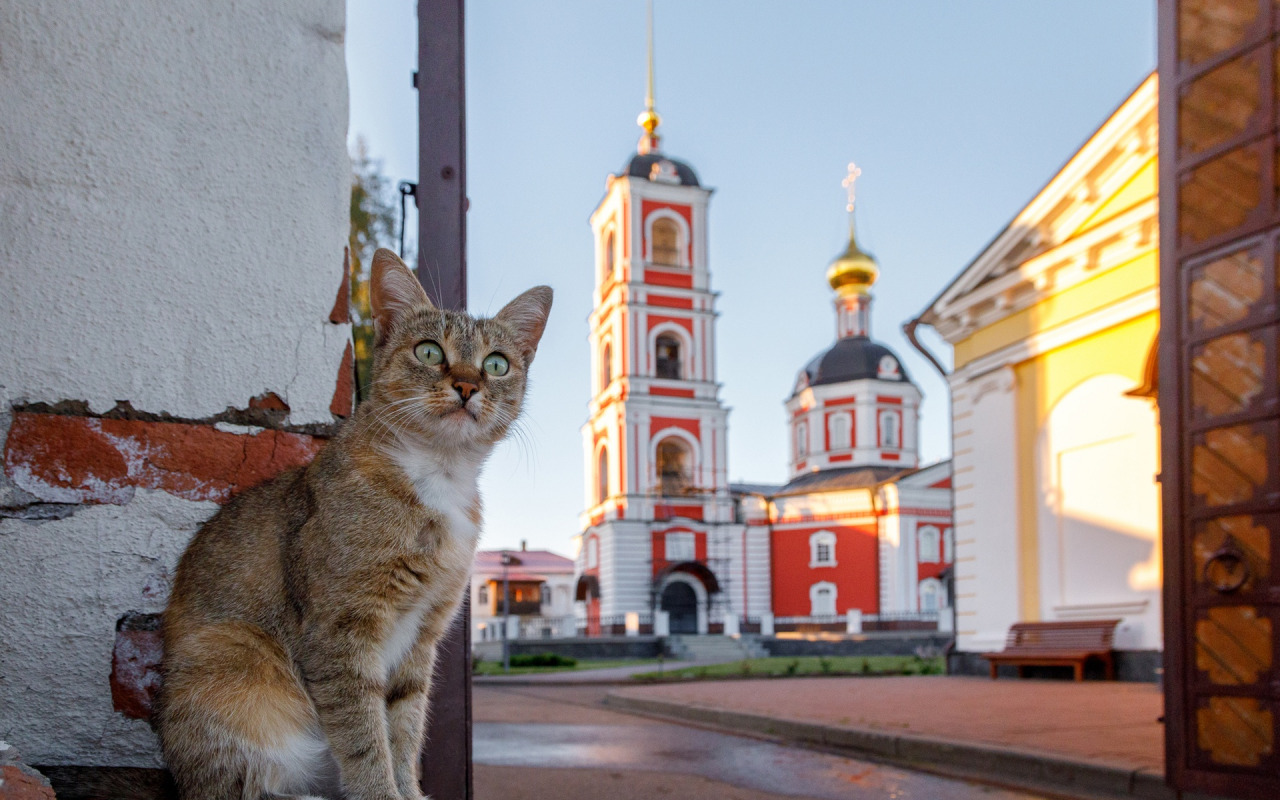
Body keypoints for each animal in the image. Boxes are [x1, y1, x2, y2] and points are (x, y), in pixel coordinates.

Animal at [154, 249, 550, 798]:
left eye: (497, 364)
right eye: (430, 352)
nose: (468, 385)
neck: (437, 474)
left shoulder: (422, 635)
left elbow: (404, 728)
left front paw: (409, 792)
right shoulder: (340, 630)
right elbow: (364, 734)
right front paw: (381, 792)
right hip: (232, 660)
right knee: (238, 787)